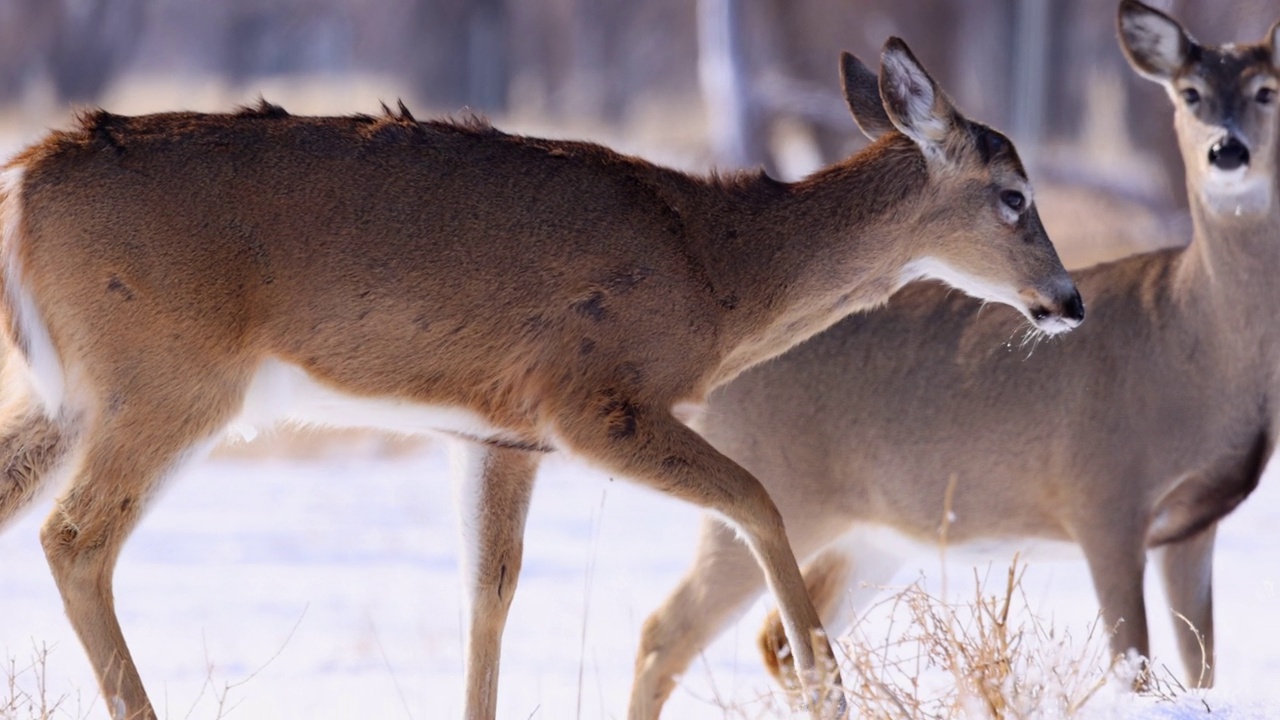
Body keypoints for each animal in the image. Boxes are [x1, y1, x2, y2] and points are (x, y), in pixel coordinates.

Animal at [0, 36, 1080, 712]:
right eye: (1012, 195)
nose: (1068, 300)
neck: (718, 267)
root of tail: (27, 174)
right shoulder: (593, 399)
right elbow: (757, 501)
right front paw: (827, 686)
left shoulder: (499, 431)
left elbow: (490, 593)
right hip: (169, 379)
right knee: (76, 538)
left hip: (72, 394)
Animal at [637, 0, 1280, 696]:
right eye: (1189, 93)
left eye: (1267, 90)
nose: (1227, 150)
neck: (1194, 338)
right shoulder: (1104, 496)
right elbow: (1131, 665)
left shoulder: (1195, 527)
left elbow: (1201, 668)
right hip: (780, 492)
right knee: (667, 634)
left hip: (872, 535)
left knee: (780, 642)